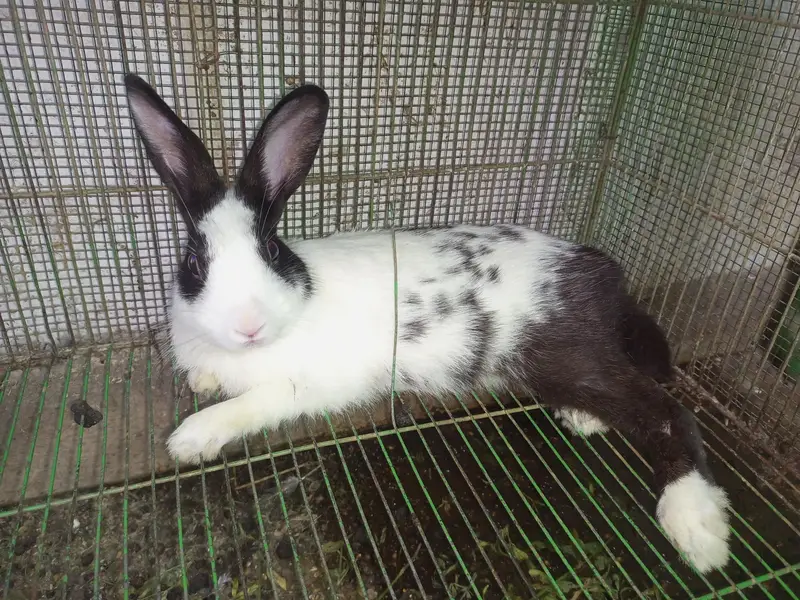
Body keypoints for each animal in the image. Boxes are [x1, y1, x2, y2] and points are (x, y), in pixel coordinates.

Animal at [124, 73, 730, 574]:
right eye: (194, 262)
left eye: (271, 250)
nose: (248, 325)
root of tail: (601, 271)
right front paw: (202, 385)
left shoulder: (300, 387)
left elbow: (245, 406)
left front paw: (190, 439)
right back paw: (584, 420)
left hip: (568, 356)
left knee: (667, 413)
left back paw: (697, 529)